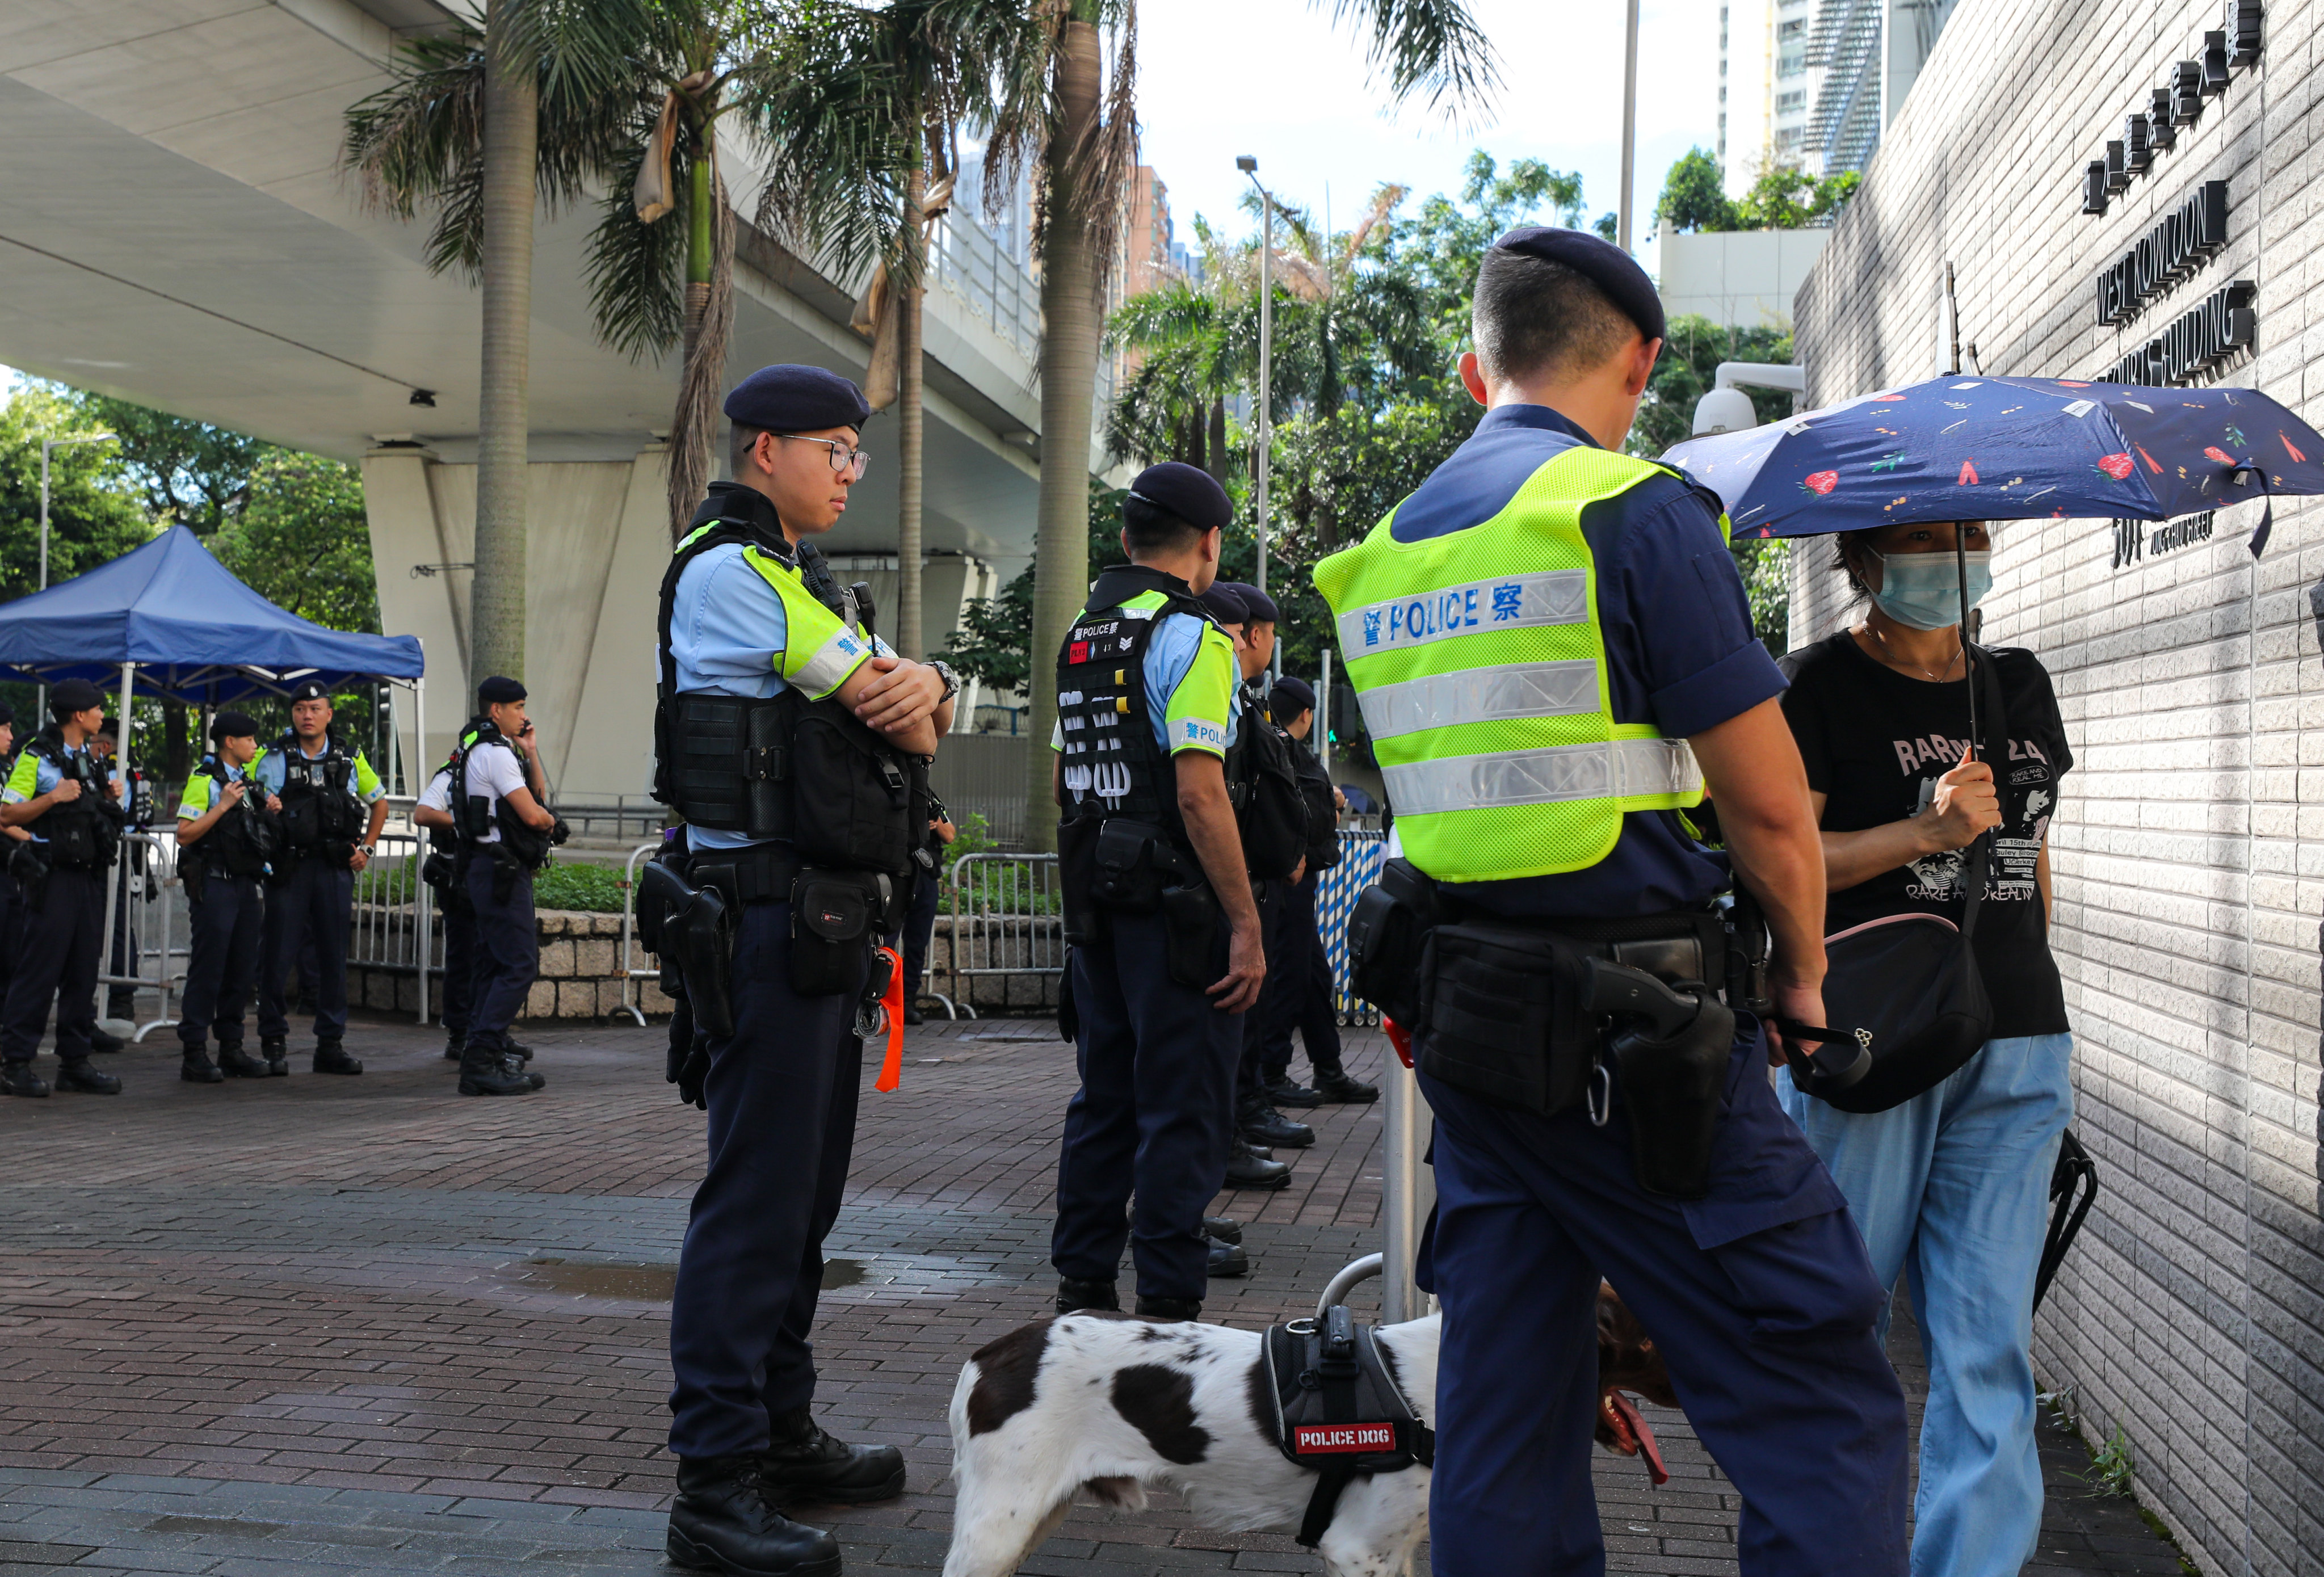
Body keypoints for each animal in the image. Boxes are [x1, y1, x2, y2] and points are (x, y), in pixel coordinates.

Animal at [939, 1291, 1673, 1570]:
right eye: (1648, 1342)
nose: (1682, 1383)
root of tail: (992, 1352)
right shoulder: (1357, 1549)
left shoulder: (1391, 1549)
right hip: (998, 1524)